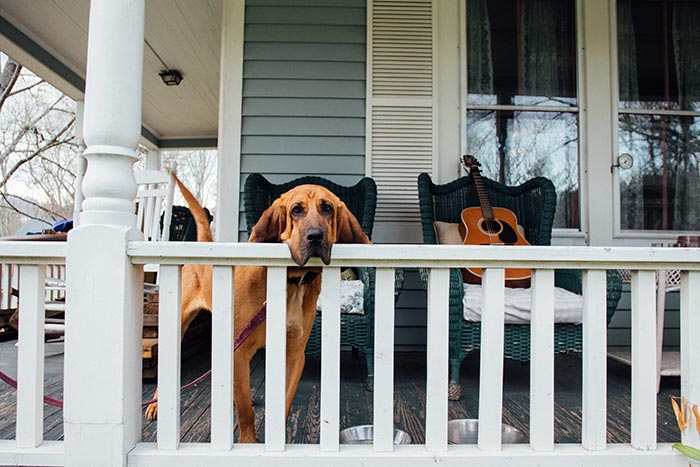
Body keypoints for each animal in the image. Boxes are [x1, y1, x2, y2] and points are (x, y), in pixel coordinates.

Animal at [144, 175, 372, 442]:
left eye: (327, 208)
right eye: (296, 210)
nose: (315, 236)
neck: (291, 283)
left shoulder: (295, 354)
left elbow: (284, 401)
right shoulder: (241, 352)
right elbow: (244, 411)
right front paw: (248, 441)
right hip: (180, 326)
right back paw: (156, 404)